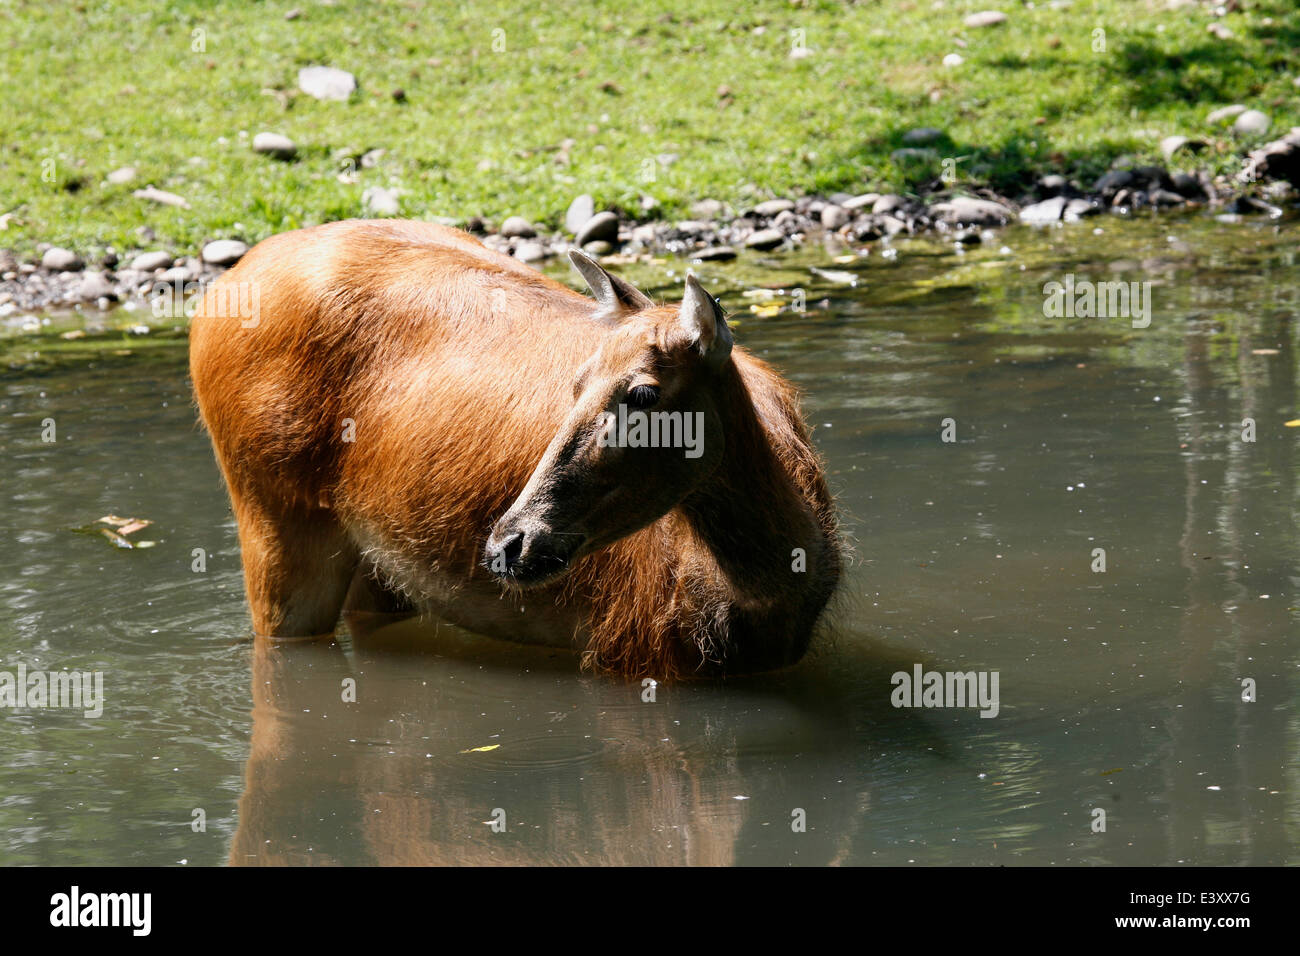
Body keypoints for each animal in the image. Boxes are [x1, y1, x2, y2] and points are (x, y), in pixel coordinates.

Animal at [189, 218, 842, 681]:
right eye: (575, 381)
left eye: (643, 392)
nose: (509, 544)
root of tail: (214, 295)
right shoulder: (634, 644)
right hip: (270, 509)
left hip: (377, 557)